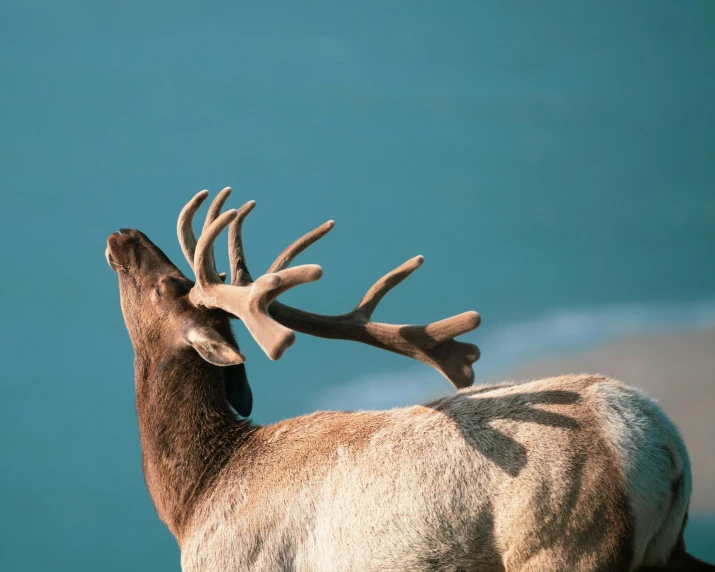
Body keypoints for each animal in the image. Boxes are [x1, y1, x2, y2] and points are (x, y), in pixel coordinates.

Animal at [106, 189, 712, 572]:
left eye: (167, 285)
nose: (123, 233)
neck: (194, 500)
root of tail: (663, 446)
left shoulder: (241, 563)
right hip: (664, 551)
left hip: (564, 547)